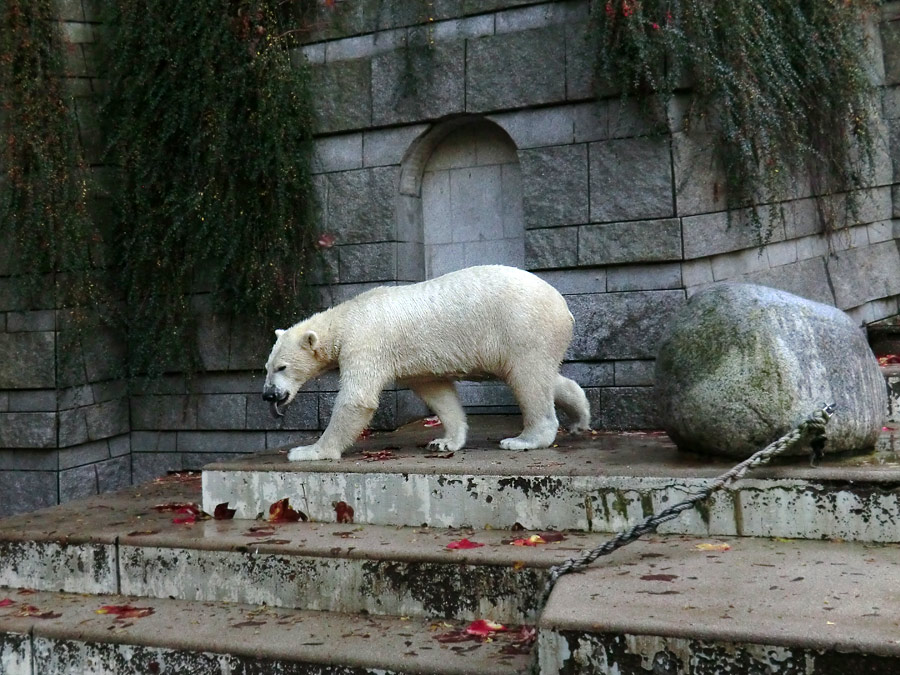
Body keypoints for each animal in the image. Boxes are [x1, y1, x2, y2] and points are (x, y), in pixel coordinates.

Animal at [264, 266, 596, 462]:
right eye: (267, 367)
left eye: (282, 367)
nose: (269, 394)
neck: (346, 318)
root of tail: (564, 307)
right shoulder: (416, 361)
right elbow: (438, 393)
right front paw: (445, 441)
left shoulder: (366, 343)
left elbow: (357, 400)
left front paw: (308, 451)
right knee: (544, 375)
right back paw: (579, 418)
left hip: (522, 325)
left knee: (528, 379)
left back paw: (523, 440)